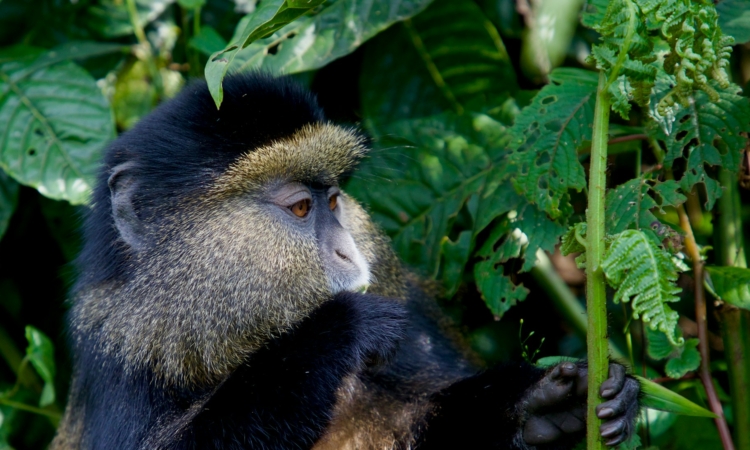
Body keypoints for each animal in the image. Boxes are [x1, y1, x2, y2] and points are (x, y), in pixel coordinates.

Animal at [51, 73, 640, 450]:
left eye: (333, 199)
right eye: (300, 207)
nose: (347, 252)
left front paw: (541, 406)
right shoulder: (121, 358)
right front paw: (337, 330)